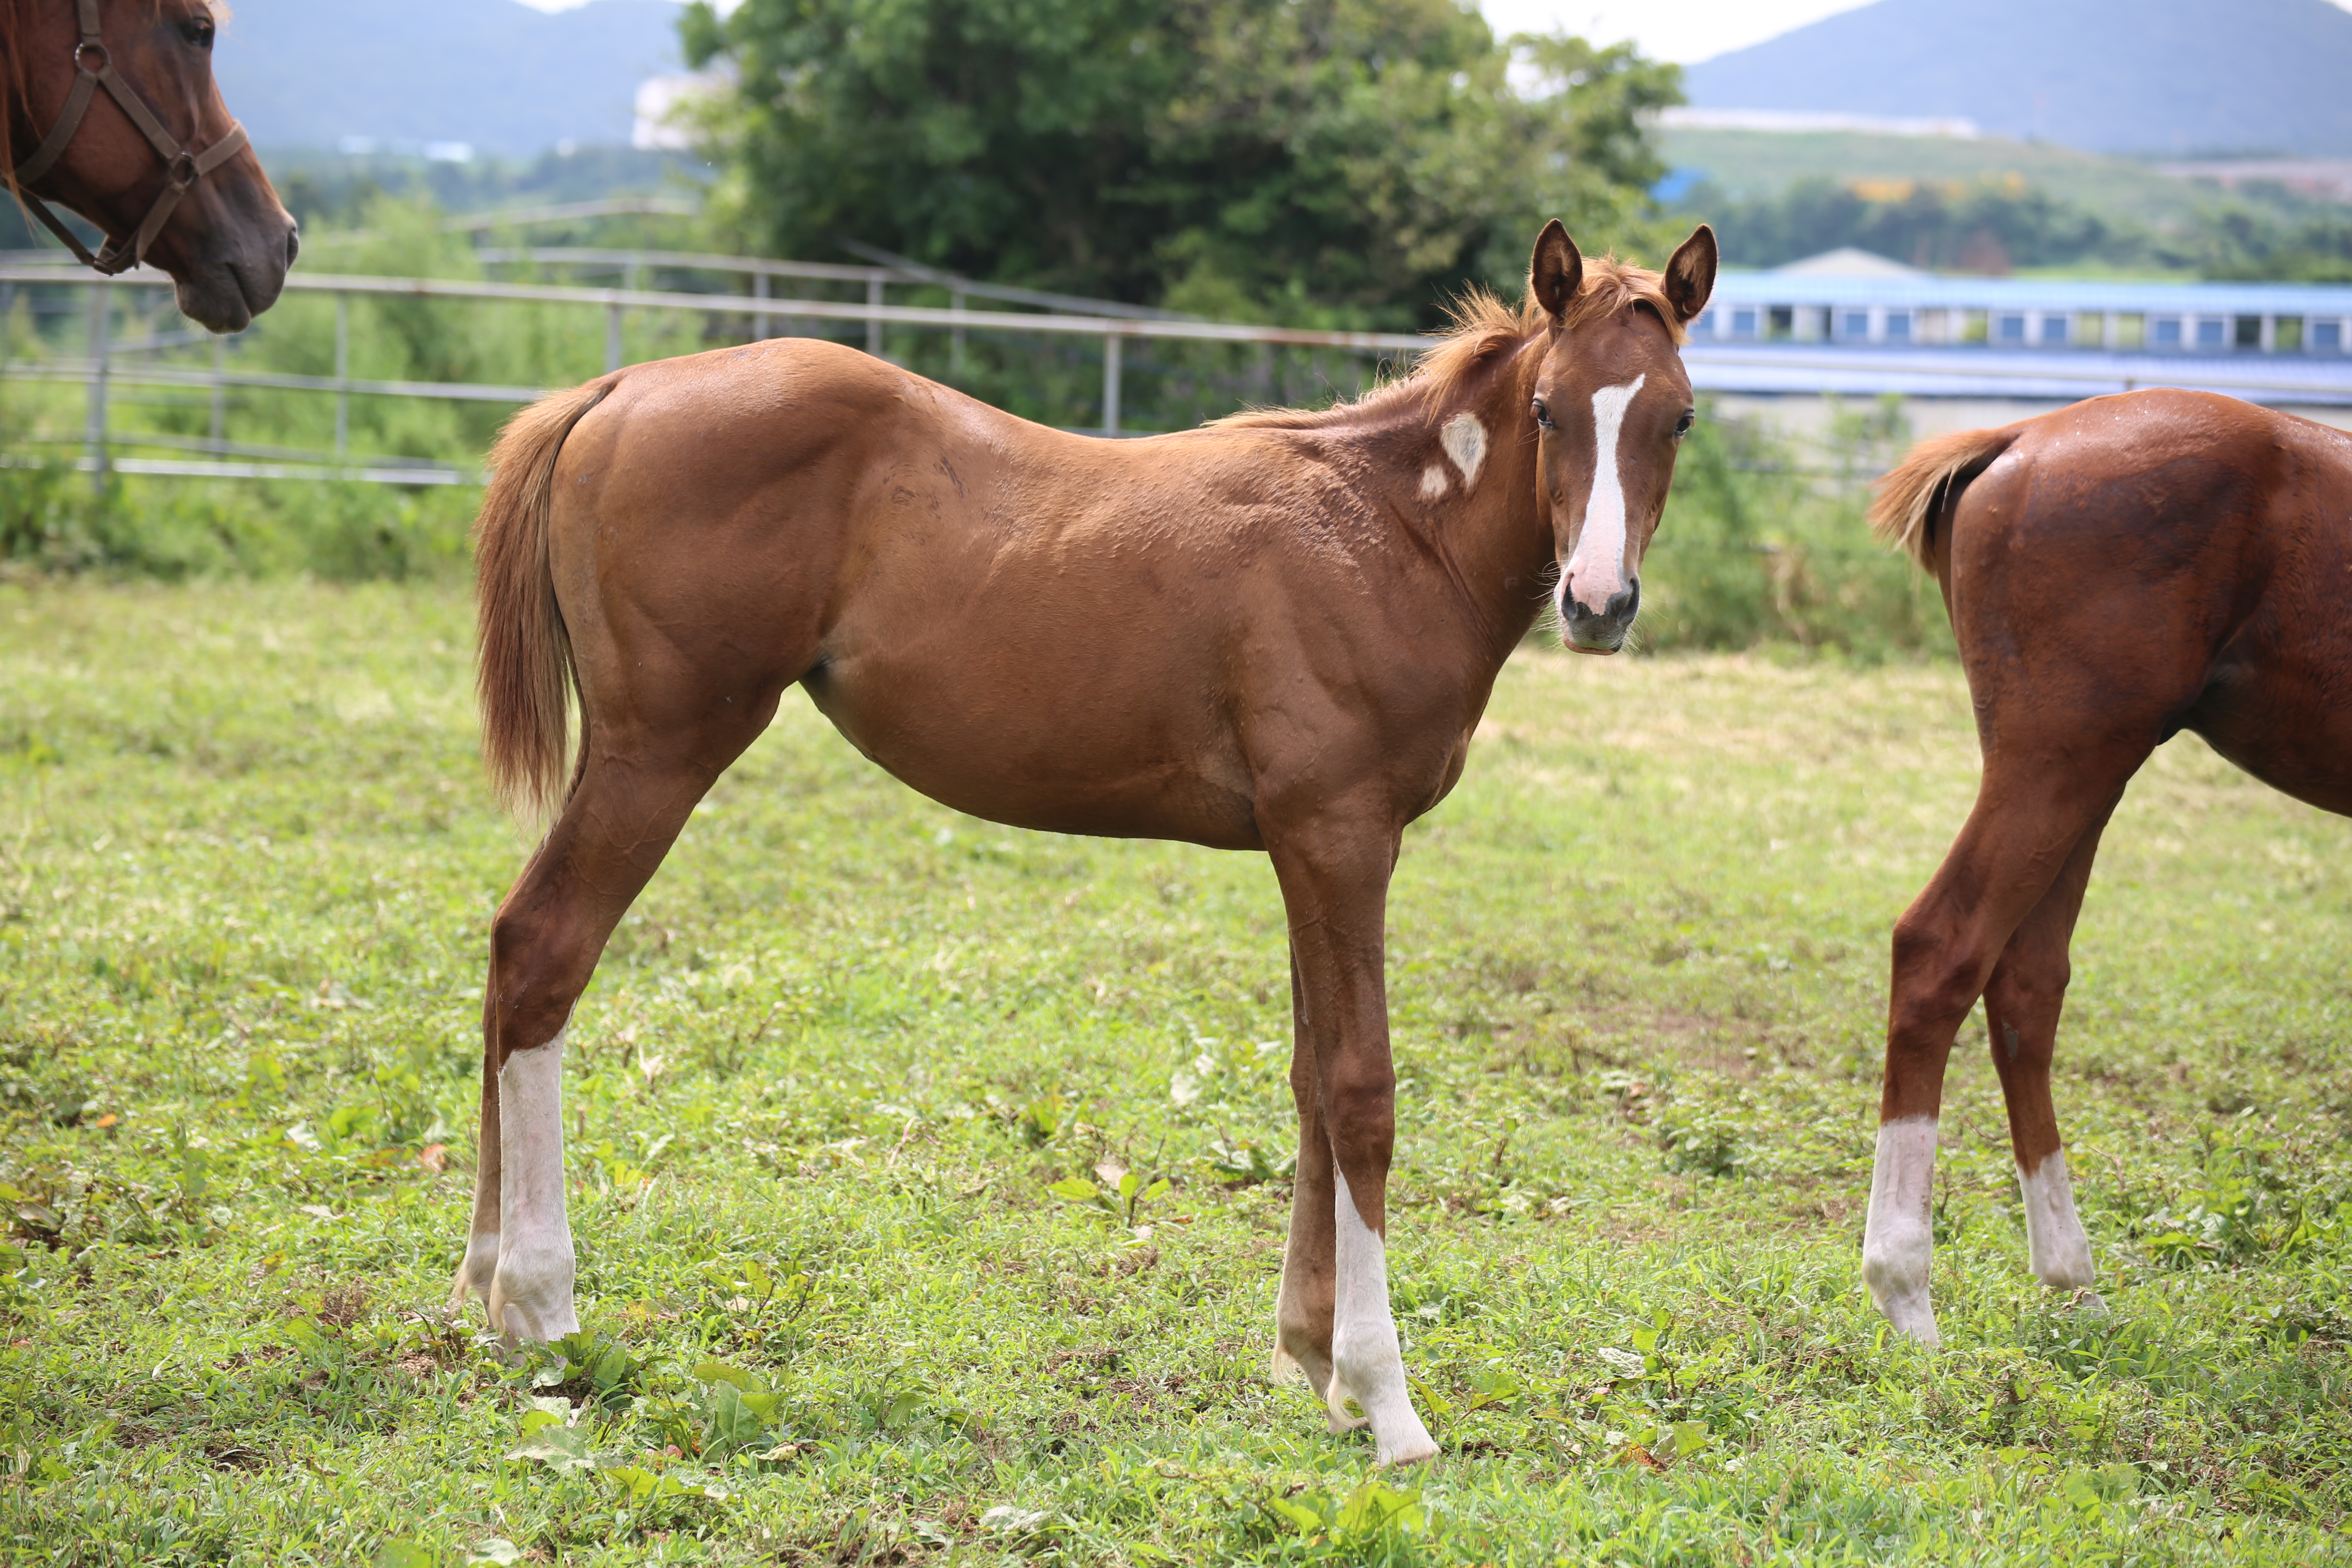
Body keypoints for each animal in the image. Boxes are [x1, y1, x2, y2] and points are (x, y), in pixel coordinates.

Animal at [459, 221, 1722, 1457]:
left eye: (1677, 416)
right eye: (1549, 409)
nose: (1596, 604)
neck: (1386, 533)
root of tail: (616, 389)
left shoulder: (1305, 847)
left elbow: (1310, 1081)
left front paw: (1314, 1360)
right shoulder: (1343, 836)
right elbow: (1361, 1093)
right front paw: (1385, 1399)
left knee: (512, 949)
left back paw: (479, 1283)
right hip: (661, 751)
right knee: (547, 953)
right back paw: (544, 1303)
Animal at [1853, 390, 2352, 1335]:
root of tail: (2019, 438)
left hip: (2083, 775)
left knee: (2026, 981)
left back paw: (2071, 1281)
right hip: (2065, 762)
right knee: (1942, 947)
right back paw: (1908, 1293)